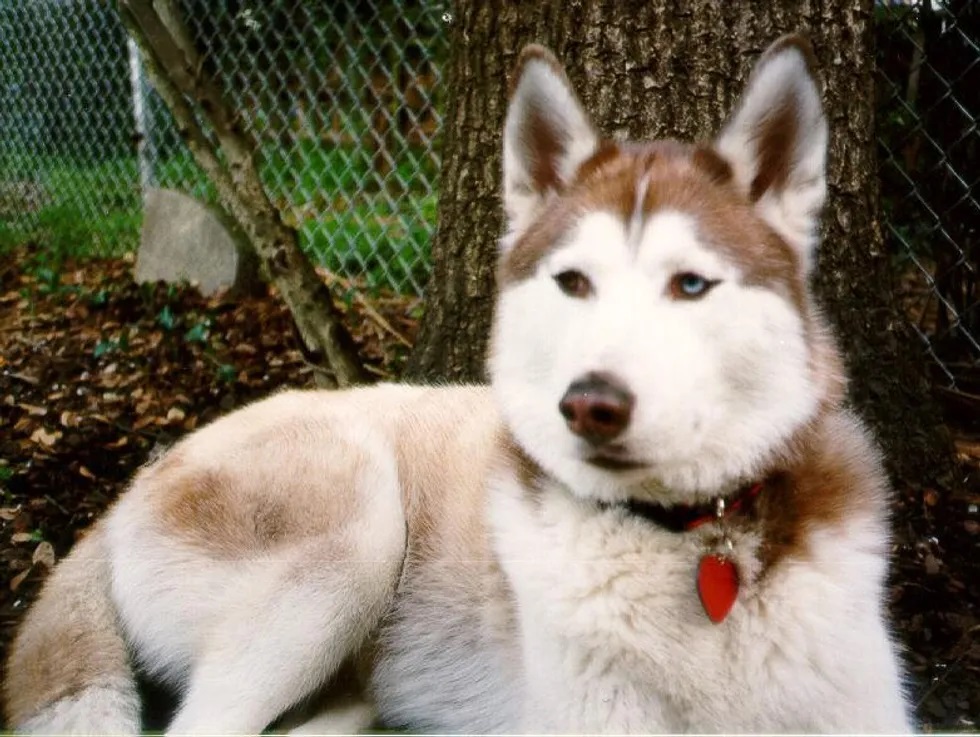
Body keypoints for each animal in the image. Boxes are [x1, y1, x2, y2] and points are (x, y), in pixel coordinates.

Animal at [5, 37, 912, 732]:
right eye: (573, 282)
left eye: (691, 284)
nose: (590, 403)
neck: (694, 542)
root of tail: (130, 488)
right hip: (354, 533)